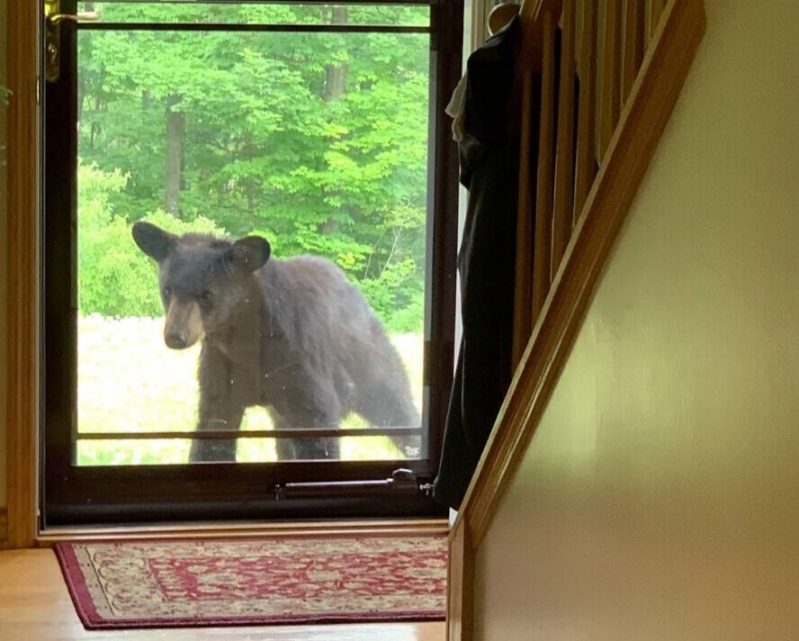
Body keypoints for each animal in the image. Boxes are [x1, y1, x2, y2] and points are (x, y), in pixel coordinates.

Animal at [131, 221, 421, 463]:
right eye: (167, 290)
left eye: (206, 295)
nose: (174, 336)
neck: (243, 338)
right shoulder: (219, 364)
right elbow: (214, 428)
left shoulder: (297, 360)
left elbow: (318, 424)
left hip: (369, 363)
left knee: (397, 406)